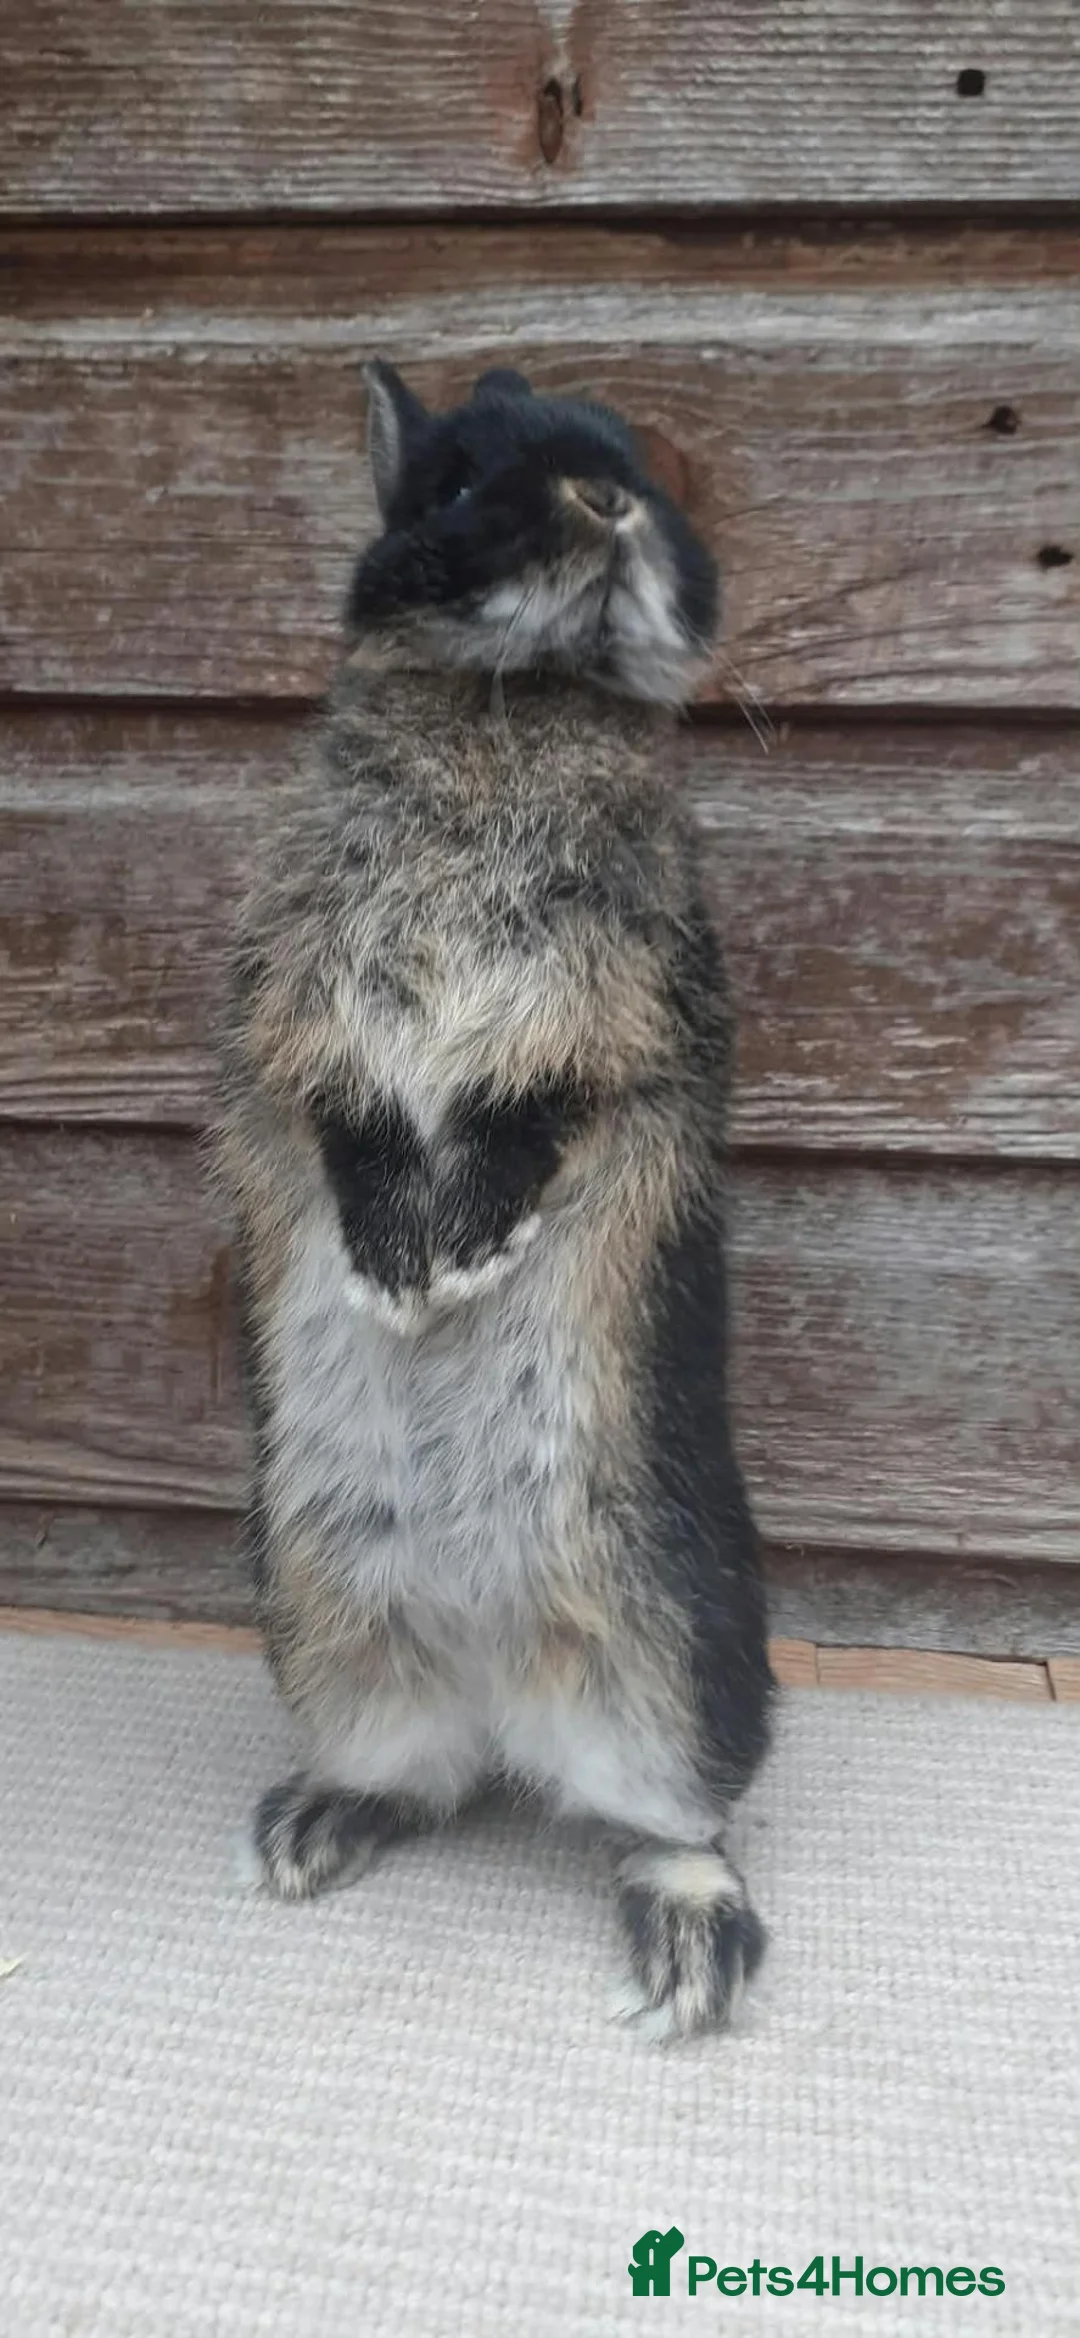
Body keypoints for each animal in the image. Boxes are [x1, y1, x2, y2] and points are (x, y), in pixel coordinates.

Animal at [214, 360, 774, 2040]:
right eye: (460, 486)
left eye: (641, 470)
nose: (607, 504)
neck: (513, 704)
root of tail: (494, 1676)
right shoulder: (307, 1014)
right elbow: (352, 1119)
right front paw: (401, 1260)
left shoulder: (611, 1017)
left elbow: (531, 1114)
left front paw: (449, 1257)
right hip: (324, 1629)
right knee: (421, 1774)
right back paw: (314, 1827)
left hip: (672, 1643)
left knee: (679, 1812)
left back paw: (688, 1947)